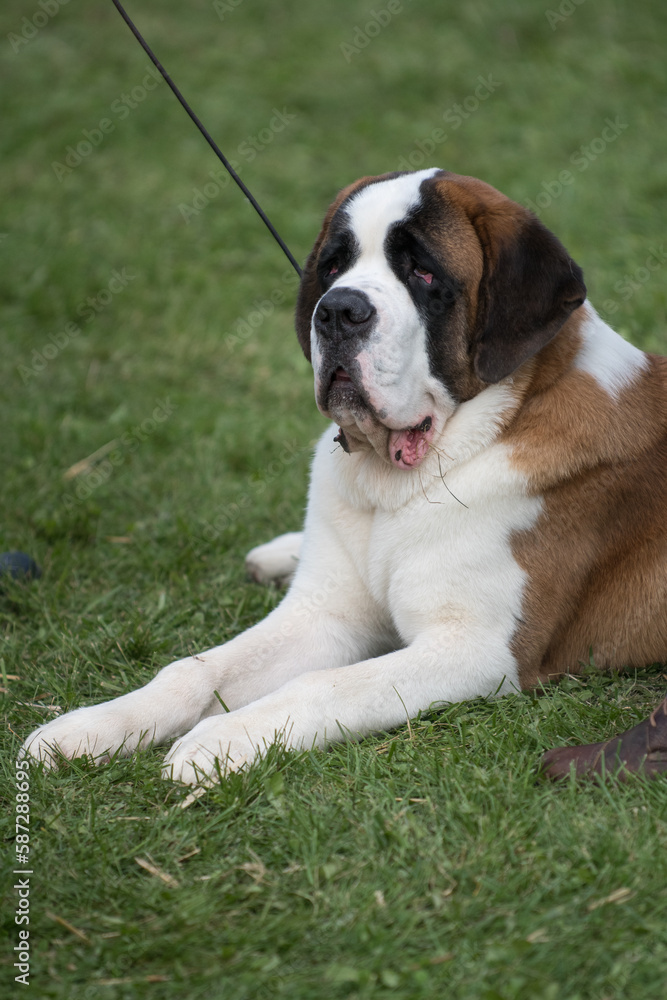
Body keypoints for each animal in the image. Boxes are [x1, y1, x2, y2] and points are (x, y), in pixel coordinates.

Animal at [22, 170, 667, 780]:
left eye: (423, 273)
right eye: (333, 266)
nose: (336, 309)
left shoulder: (478, 649)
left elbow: (326, 684)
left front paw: (218, 741)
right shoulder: (323, 616)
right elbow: (193, 668)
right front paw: (90, 728)